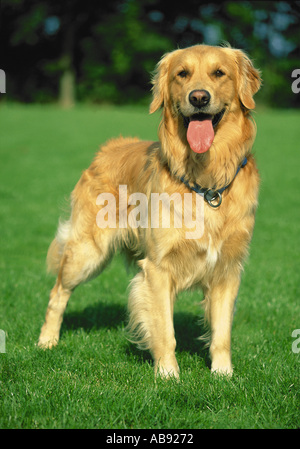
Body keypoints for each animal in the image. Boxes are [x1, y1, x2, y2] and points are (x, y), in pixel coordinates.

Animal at [38, 43, 262, 376]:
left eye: (219, 73)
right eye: (182, 73)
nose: (198, 97)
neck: (206, 181)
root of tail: (109, 147)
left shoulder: (227, 269)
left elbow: (221, 333)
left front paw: (224, 375)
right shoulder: (158, 268)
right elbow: (165, 331)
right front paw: (168, 375)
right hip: (87, 253)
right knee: (58, 293)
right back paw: (47, 341)